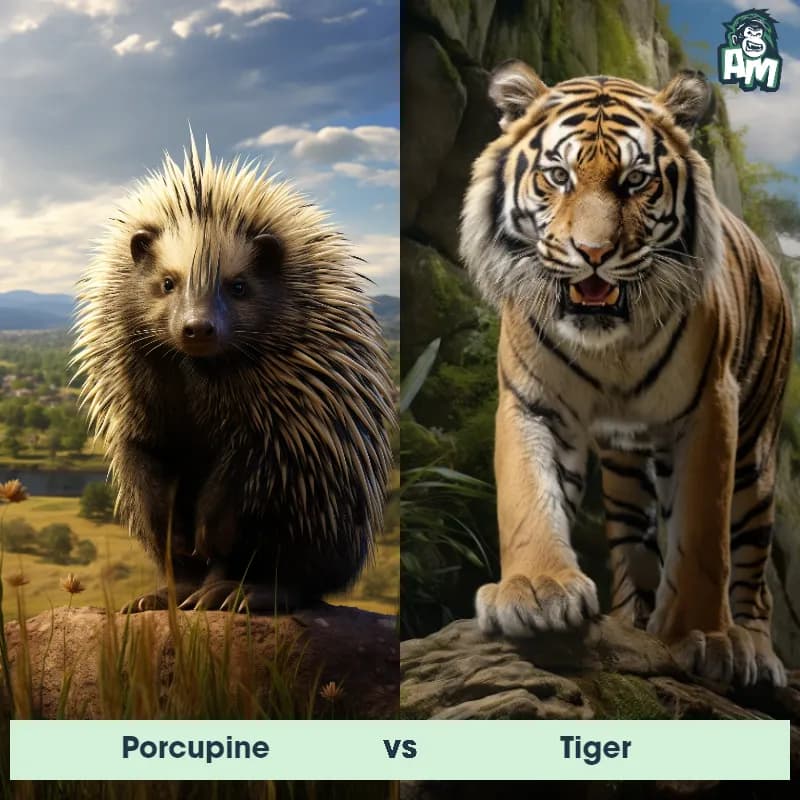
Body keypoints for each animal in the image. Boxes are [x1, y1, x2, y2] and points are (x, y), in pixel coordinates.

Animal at [459, 61, 792, 687]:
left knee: (753, 567)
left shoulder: (710, 407)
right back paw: (633, 621)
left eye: (636, 181)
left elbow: (703, 534)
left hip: (756, 457)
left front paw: (703, 635)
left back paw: (757, 650)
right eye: (558, 176)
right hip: (625, 470)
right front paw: (535, 591)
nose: (592, 253)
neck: (607, 345)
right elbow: (527, 496)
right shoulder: (533, 402)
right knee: (634, 546)